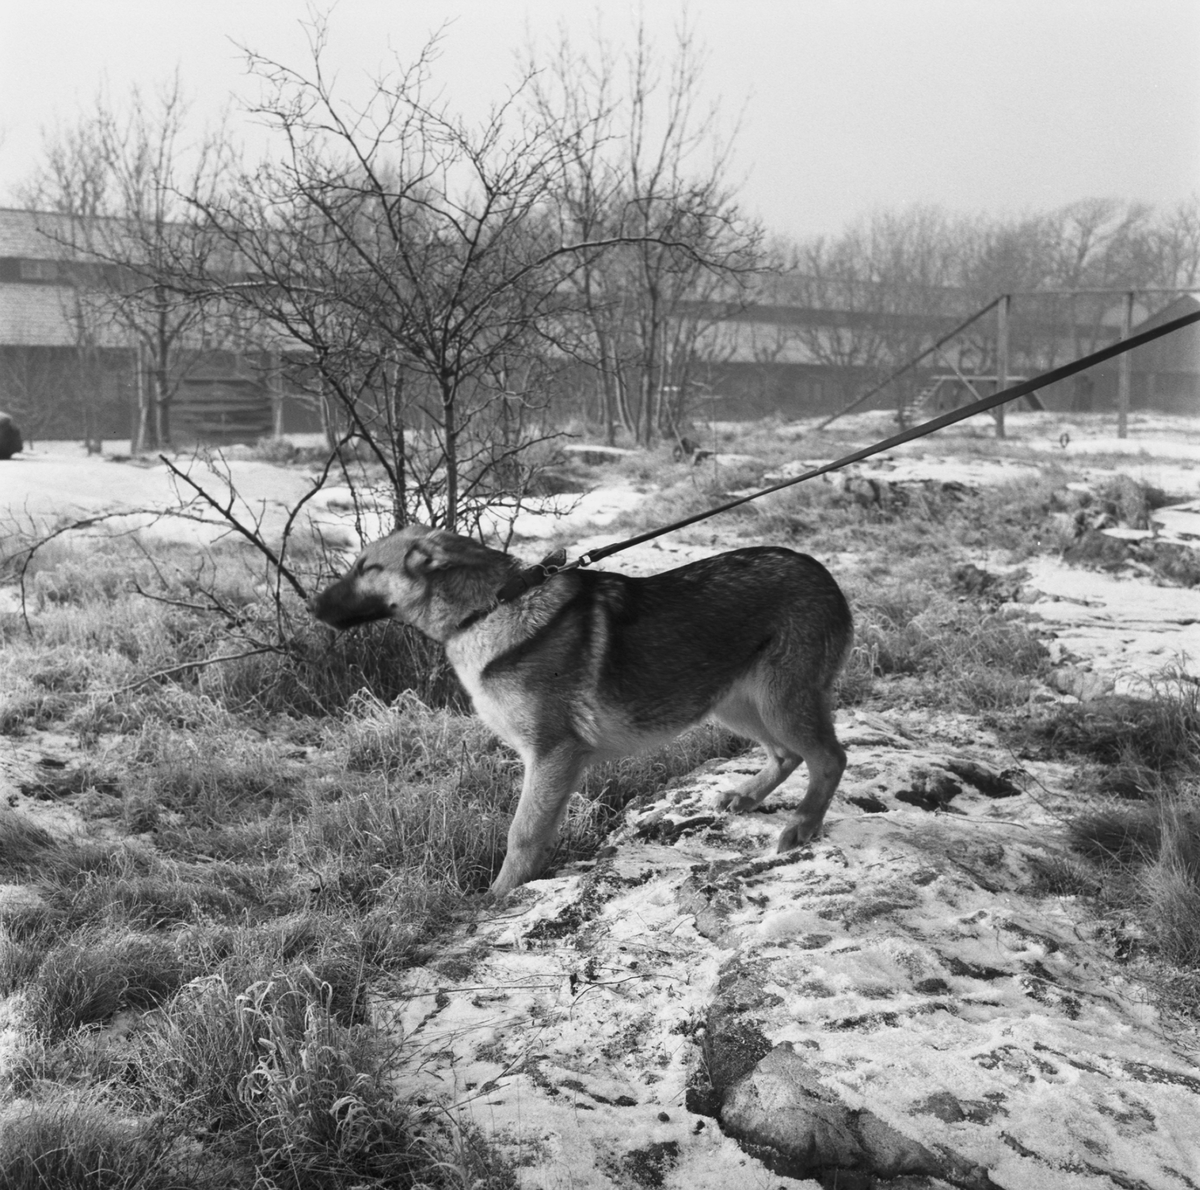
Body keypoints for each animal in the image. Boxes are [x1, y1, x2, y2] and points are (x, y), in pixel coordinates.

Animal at [309, 525, 854, 897]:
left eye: (366, 569)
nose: (311, 608)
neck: (486, 611)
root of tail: (822, 572)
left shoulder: (553, 753)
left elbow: (523, 833)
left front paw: (498, 896)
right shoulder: (552, 764)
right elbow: (537, 831)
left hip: (777, 701)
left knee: (830, 758)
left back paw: (802, 825)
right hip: (733, 701)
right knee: (788, 755)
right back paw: (746, 796)